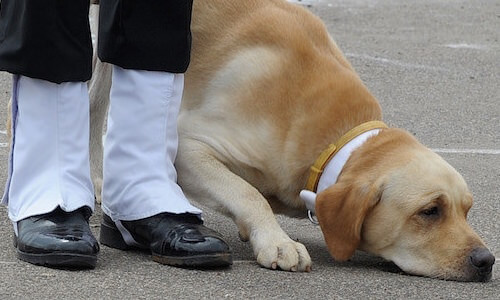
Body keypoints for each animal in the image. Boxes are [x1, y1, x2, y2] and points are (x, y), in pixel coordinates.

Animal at [88, 0, 494, 282]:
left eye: (467, 210)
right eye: (430, 210)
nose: (487, 261)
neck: (333, 143)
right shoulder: (188, 147)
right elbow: (247, 193)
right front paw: (277, 241)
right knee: (94, 106)